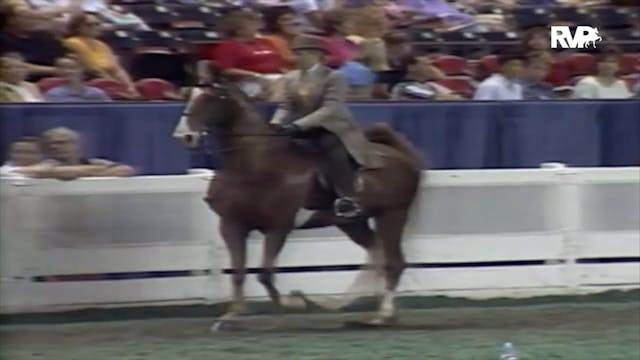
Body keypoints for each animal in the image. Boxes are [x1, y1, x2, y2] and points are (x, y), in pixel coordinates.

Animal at [178, 79, 424, 330]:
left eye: (208, 99)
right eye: (189, 95)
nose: (184, 135)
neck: (253, 164)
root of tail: (396, 154)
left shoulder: (278, 227)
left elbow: (265, 274)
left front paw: (295, 303)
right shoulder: (232, 226)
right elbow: (239, 272)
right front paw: (230, 316)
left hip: (392, 214)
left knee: (394, 263)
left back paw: (382, 314)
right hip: (352, 222)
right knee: (377, 253)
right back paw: (343, 304)